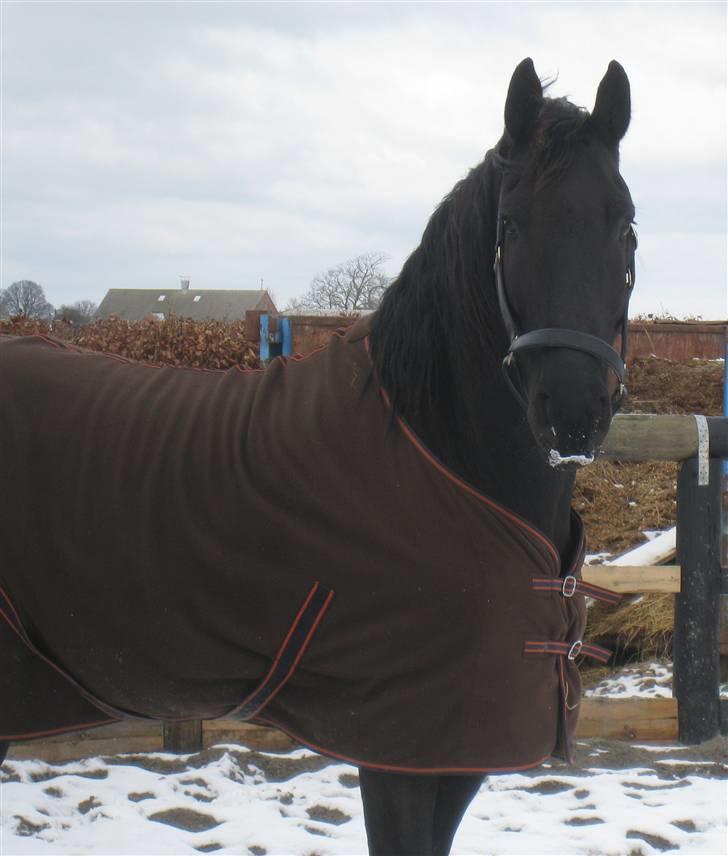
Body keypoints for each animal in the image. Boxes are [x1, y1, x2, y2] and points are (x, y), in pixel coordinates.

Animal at [0, 58, 636, 856]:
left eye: (626, 224)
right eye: (512, 224)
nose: (574, 412)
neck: (439, 455)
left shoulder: (459, 755)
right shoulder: (398, 753)